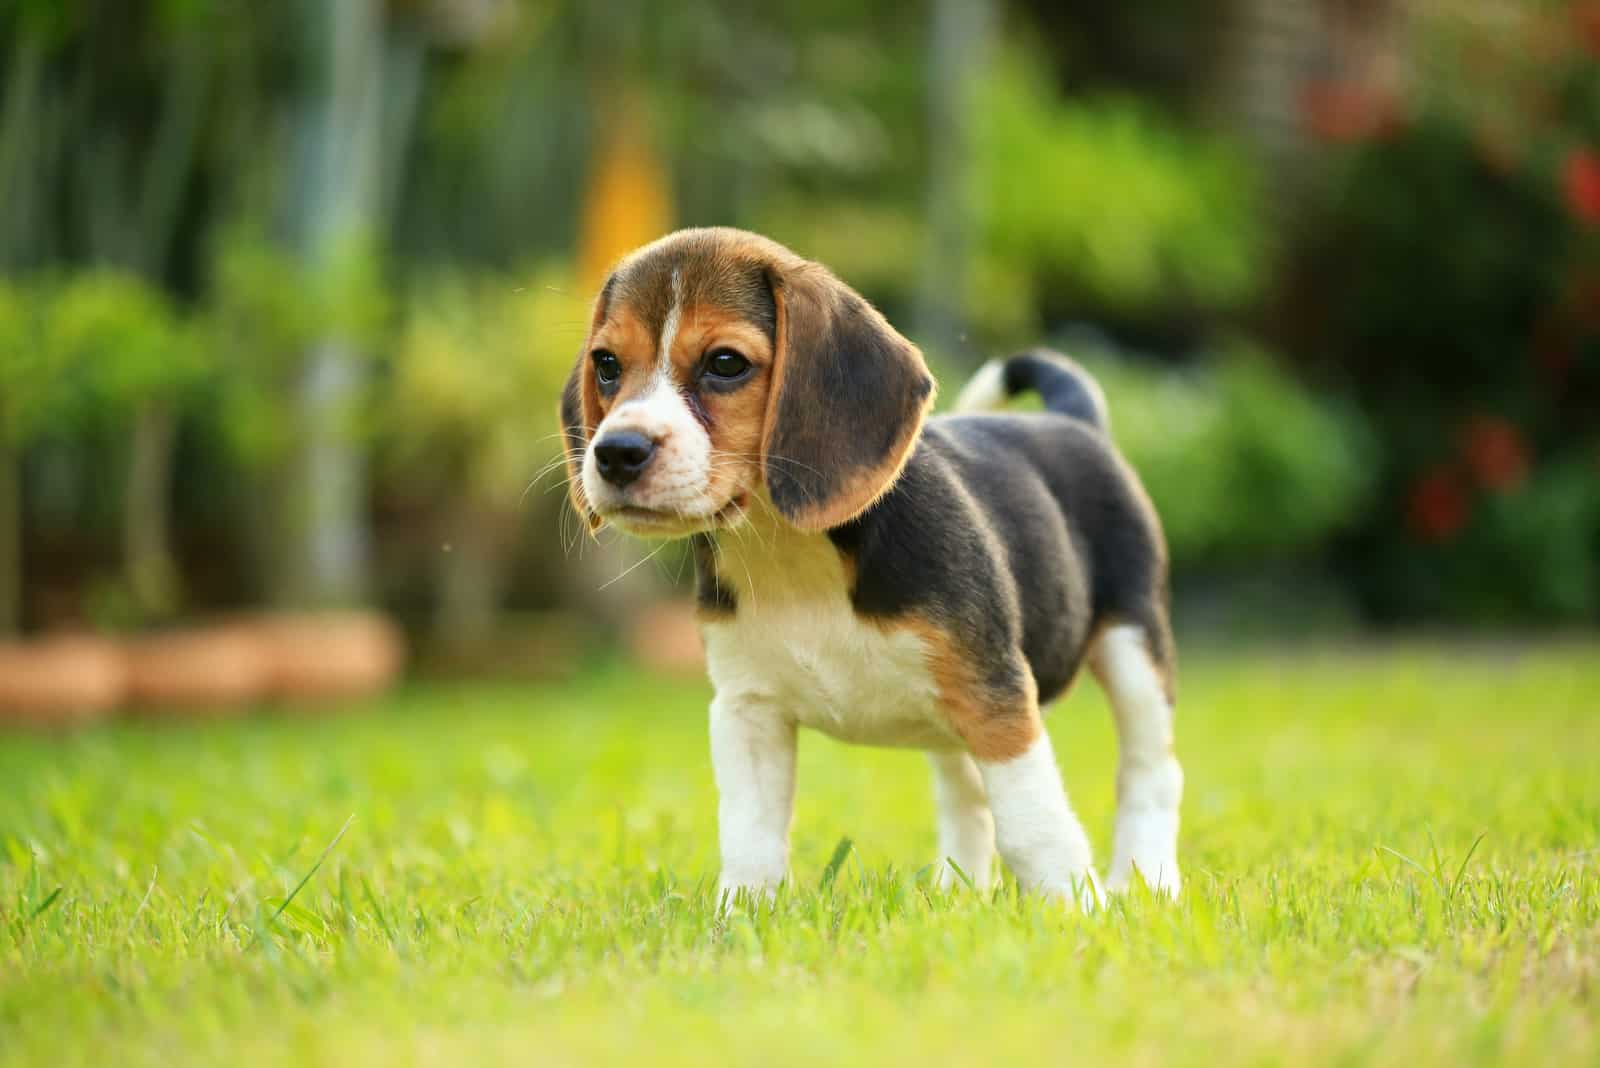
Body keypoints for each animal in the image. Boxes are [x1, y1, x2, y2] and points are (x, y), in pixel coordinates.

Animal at [560, 230, 1177, 908]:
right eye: (607, 364)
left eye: (725, 363)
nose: (616, 453)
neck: (787, 549)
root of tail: (1072, 419)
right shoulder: (748, 709)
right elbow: (751, 837)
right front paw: (742, 913)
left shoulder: (996, 697)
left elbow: (1033, 825)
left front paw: (1071, 908)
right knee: (965, 796)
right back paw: (958, 892)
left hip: (1132, 648)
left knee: (1150, 772)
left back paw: (1148, 881)